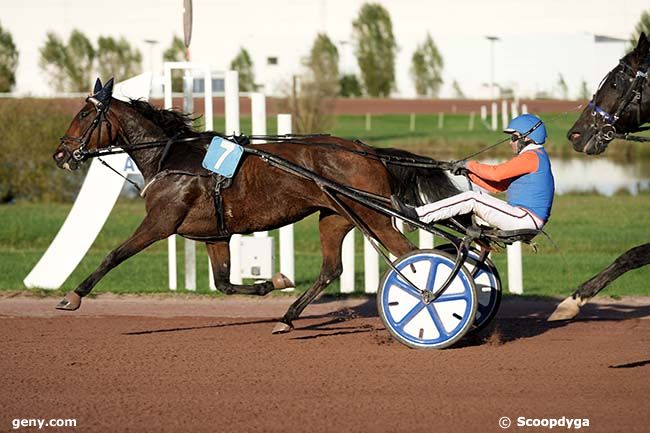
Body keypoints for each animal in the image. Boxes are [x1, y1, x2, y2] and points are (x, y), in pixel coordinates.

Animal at [53, 79, 458, 332]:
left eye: (85, 115)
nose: (60, 154)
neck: (172, 157)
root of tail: (367, 150)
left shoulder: (161, 221)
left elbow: (114, 255)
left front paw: (72, 297)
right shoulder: (214, 236)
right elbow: (224, 284)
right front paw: (274, 281)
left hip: (375, 217)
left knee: (409, 258)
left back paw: (429, 301)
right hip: (335, 217)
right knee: (331, 269)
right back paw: (287, 317)